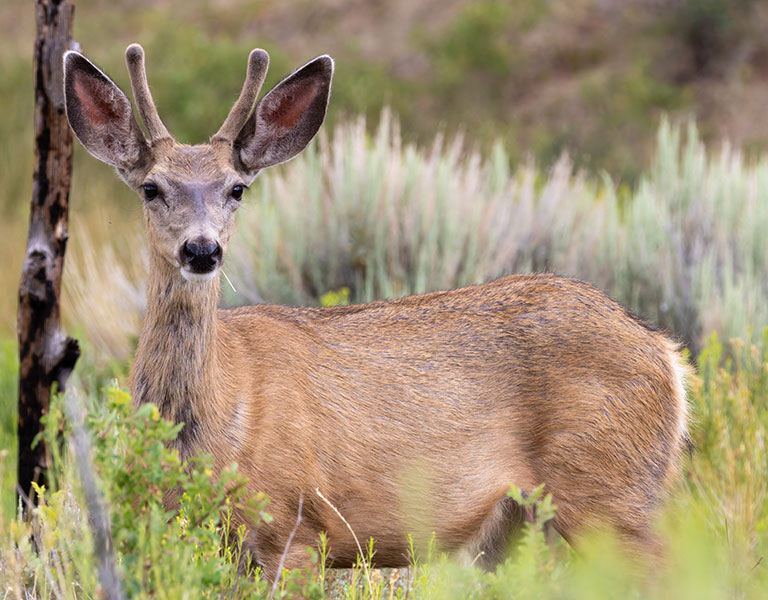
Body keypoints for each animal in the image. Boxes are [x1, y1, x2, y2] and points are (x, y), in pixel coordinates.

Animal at [63, 43, 690, 580]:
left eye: (237, 188)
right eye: (150, 188)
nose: (201, 249)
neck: (212, 427)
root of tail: (666, 354)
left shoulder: (293, 527)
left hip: (607, 488)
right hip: (520, 523)